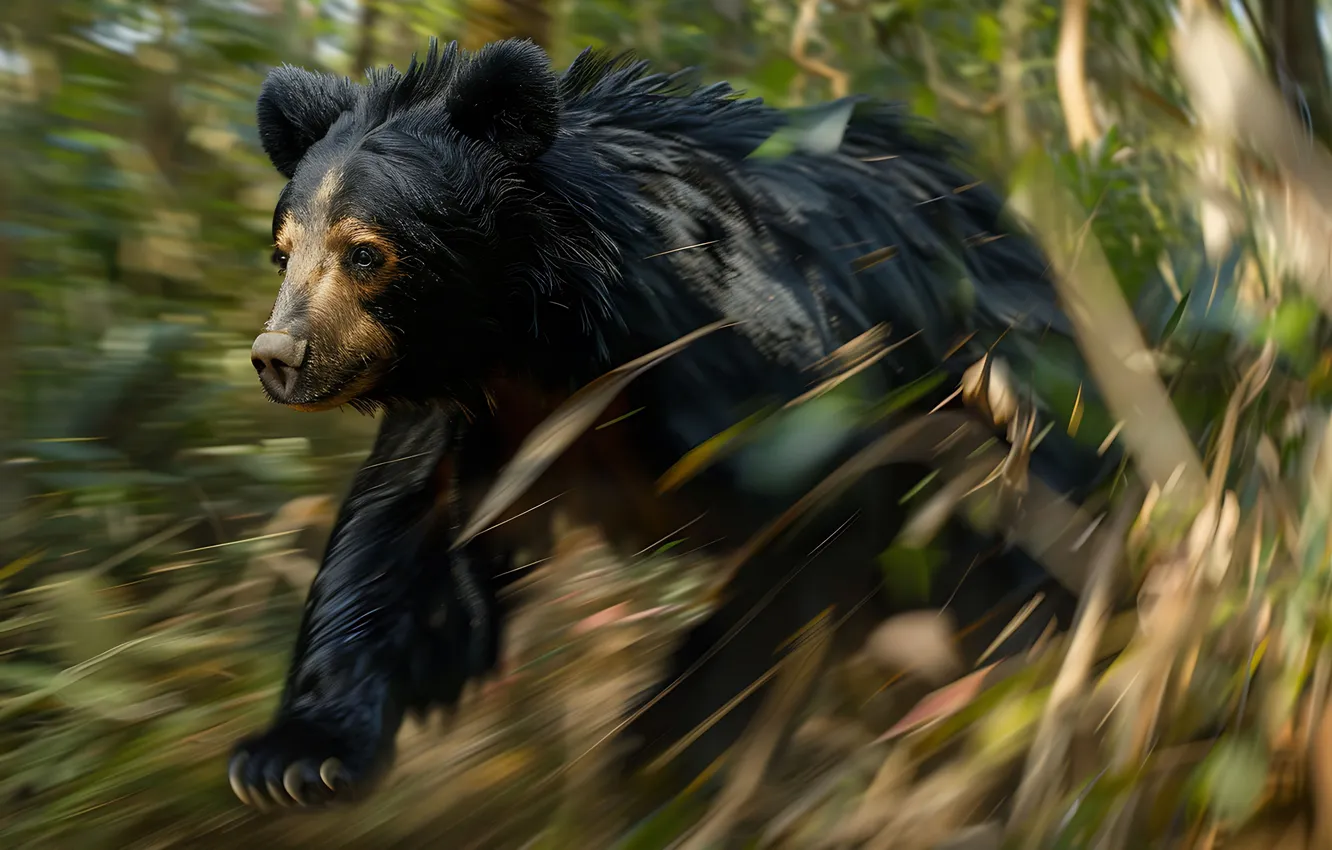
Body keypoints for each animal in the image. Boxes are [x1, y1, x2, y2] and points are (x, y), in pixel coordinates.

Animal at [227, 37, 1115, 812]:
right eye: (284, 251)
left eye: (365, 252)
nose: (278, 357)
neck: (542, 331)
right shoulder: (476, 415)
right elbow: (403, 539)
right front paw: (294, 758)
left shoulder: (730, 357)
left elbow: (813, 518)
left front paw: (665, 745)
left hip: (1012, 400)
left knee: (1011, 561)